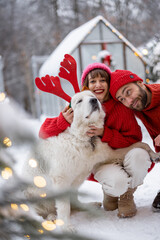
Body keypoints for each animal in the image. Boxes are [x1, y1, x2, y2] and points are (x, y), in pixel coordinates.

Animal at [24, 90, 159, 231]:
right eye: (79, 101)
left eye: (92, 96)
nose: (94, 100)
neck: (82, 138)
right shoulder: (60, 178)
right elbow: (63, 207)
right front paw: (66, 226)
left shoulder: (109, 154)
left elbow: (142, 144)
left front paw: (154, 154)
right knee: (36, 213)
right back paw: (51, 217)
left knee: (75, 203)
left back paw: (89, 206)